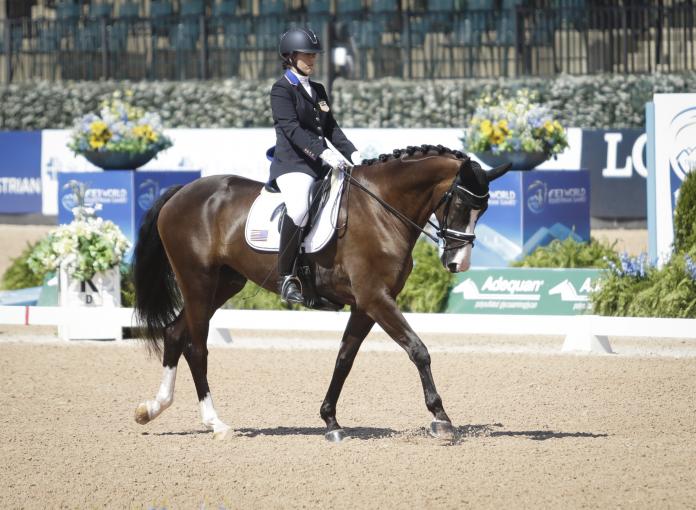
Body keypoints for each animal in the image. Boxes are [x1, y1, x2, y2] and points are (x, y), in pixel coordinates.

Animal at [132, 144, 512, 442]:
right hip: (197, 281)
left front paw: (330, 420)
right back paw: (215, 423)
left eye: (483, 210)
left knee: (174, 332)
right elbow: (418, 350)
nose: (457, 263)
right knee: (196, 347)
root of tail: (183, 190)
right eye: (461, 205)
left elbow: (344, 359)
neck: (381, 209)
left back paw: (151, 408)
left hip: (224, 284)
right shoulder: (376, 298)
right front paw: (441, 418)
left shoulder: (365, 304)